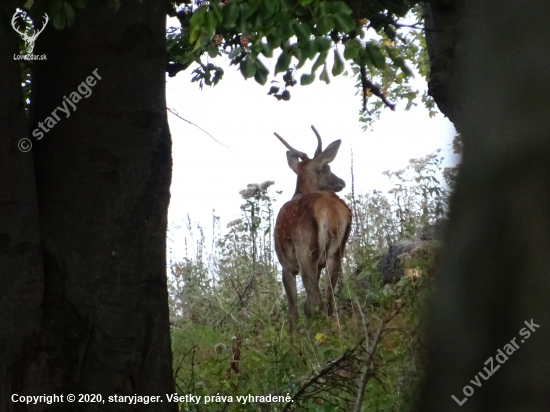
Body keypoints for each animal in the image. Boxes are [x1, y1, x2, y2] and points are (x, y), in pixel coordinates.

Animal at [274, 125, 354, 334]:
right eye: (327, 168)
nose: (341, 182)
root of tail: (331, 210)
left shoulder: (286, 265)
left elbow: (292, 311)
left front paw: (293, 339)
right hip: (337, 251)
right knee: (328, 300)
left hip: (305, 249)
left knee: (312, 303)